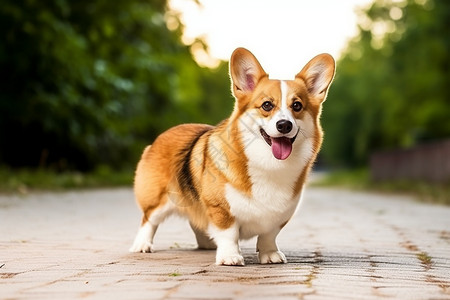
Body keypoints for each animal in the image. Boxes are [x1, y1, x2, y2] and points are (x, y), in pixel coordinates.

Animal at [130, 48, 334, 266]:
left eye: (297, 106)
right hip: (160, 200)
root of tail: (161, 136)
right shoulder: (220, 209)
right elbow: (229, 233)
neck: (269, 166)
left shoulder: (280, 216)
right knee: (148, 220)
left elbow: (269, 235)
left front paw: (270, 254)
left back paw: (207, 243)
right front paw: (230, 256)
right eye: (267, 105)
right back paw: (142, 245)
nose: (284, 125)